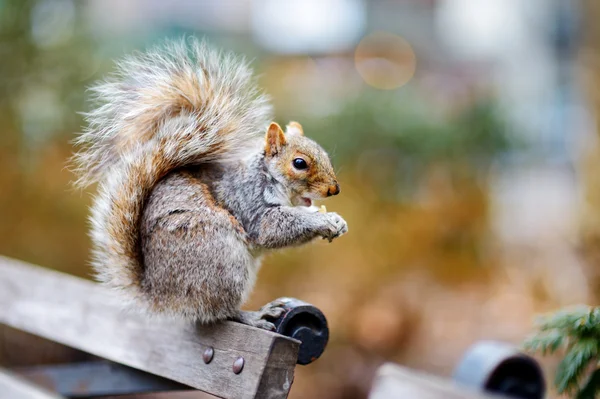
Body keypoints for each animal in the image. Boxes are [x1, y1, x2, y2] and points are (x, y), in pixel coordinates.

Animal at [72, 38, 350, 332]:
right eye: (299, 163)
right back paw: (254, 316)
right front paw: (323, 221)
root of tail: (163, 297)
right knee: (218, 312)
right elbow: (271, 229)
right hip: (221, 258)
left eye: (325, 154)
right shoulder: (248, 201)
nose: (334, 189)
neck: (267, 178)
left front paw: (337, 221)